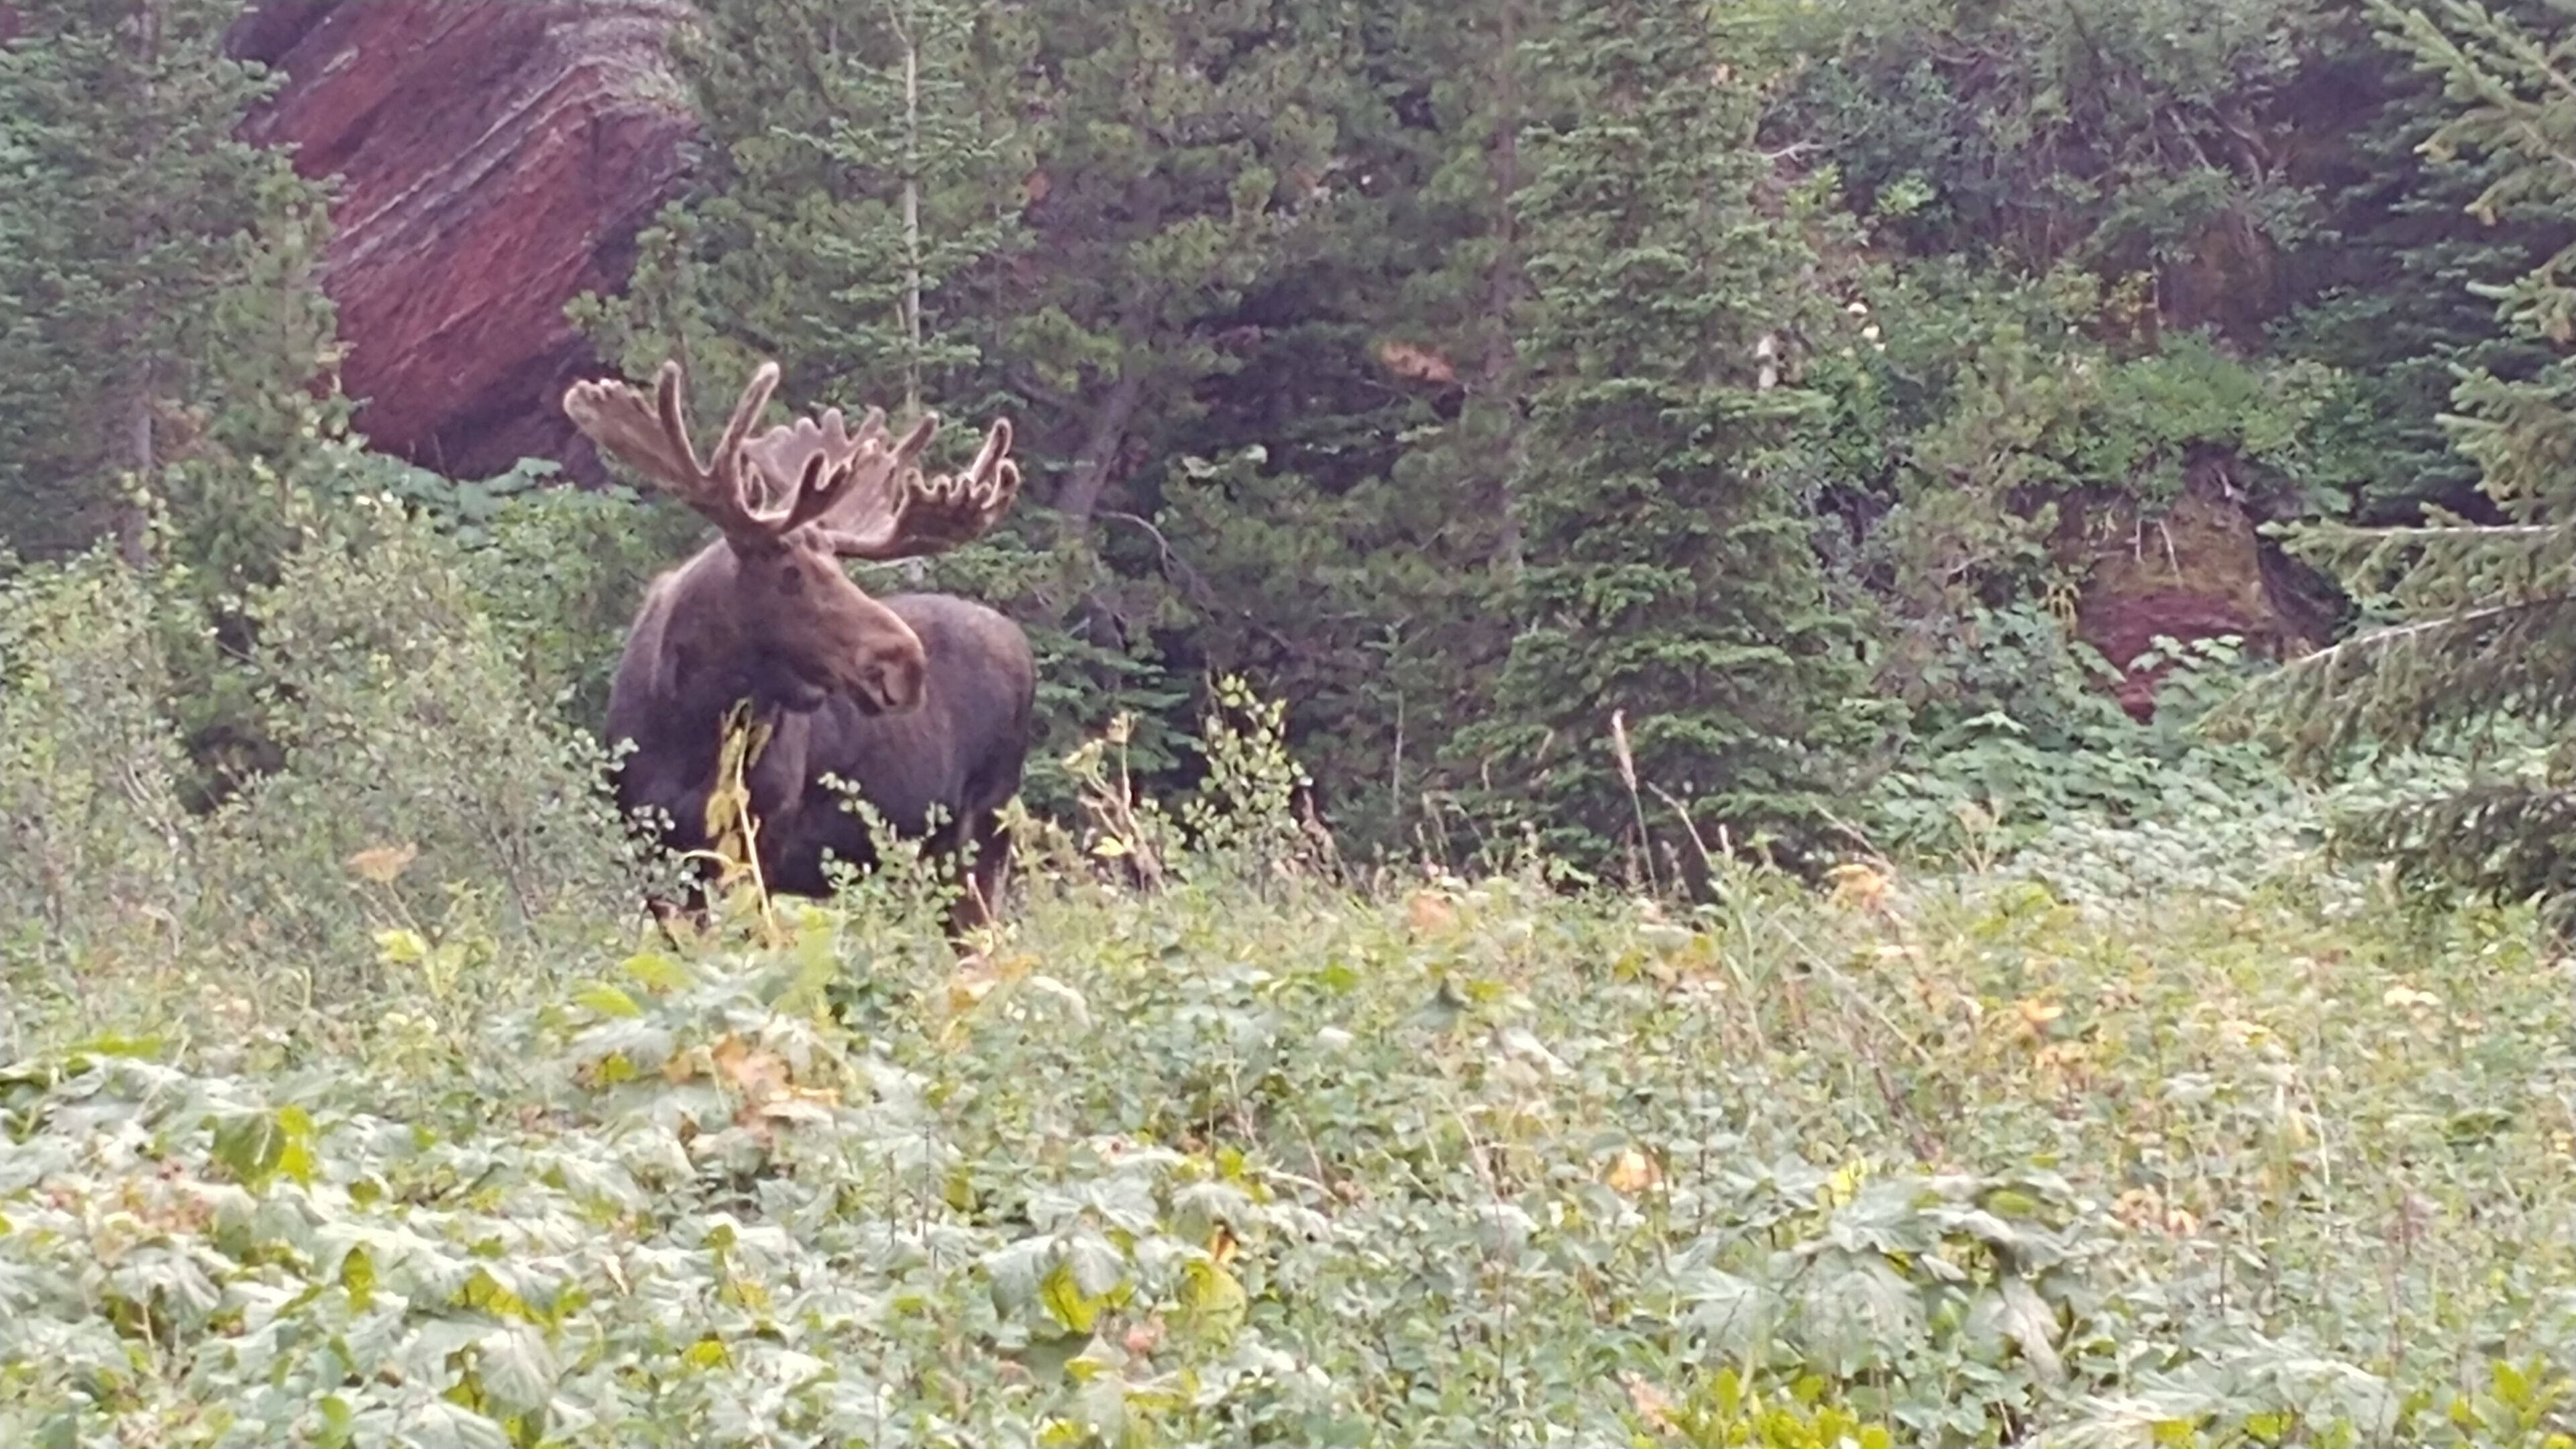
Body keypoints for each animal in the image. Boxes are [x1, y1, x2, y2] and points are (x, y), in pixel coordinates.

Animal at [562, 356, 1035, 940]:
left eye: (841, 565)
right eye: (790, 572)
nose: (905, 663)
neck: (688, 725)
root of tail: (1021, 645)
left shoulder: (759, 840)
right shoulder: (651, 847)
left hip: (984, 833)